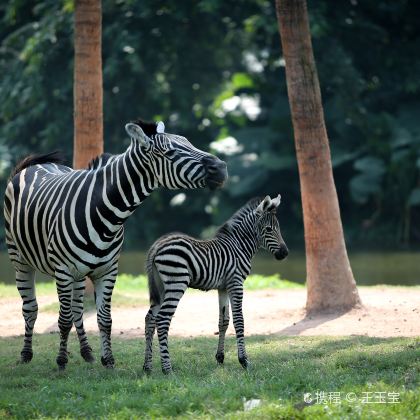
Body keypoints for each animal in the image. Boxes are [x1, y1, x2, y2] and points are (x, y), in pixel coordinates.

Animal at [4, 118, 226, 368]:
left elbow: (104, 318)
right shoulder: (63, 271)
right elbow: (63, 320)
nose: (221, 167)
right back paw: (26, 354)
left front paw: (107, 360)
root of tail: (33, 166)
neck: (107, 213)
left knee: (77, 309)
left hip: (79, 274)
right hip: (20, 260)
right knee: (31, 308)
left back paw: (86, 352)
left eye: (189, 142)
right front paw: (61, 362)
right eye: (170, 153)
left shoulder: (108, 271)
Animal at [143, 194, 288, 374]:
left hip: (162, 288)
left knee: (150, 319)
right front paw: (244, 361)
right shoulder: (236, 283)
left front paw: (220, 358)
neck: (239, 246)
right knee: (162, 320)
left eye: (278, 228)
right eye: (268, 229)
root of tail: (157, 245)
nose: (285, 253)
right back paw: (167, 369)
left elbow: (223, 321)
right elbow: (239, 321)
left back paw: (147, 367)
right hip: (176, 283)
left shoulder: (223, 287)